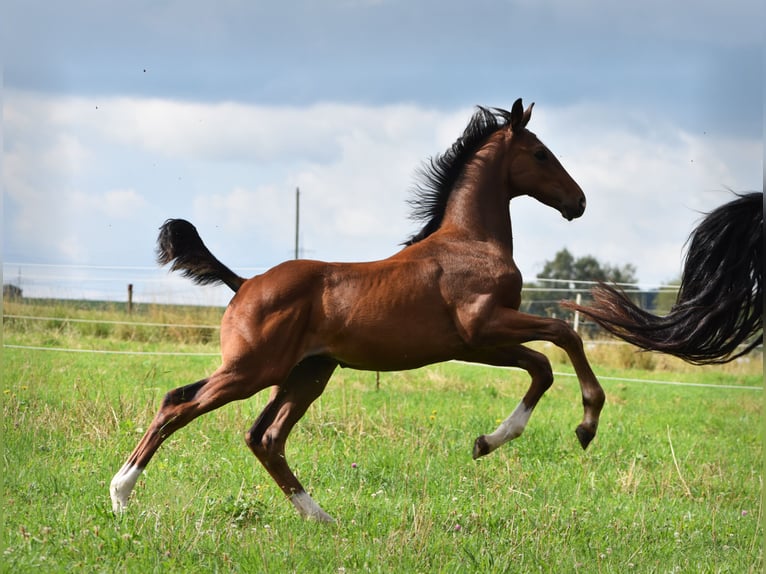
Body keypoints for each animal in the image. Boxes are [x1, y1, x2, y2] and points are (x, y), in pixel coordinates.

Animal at [109, 101, 608, 524]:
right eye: (541, 154)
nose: (580, 201)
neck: (471, 242)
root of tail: (245, 284)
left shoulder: (475, 344)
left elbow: (542, 367)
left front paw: (486, 442)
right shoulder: (484, 326)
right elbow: (564, 336)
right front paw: (586, 424)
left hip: (307, 373)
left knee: (263, 436)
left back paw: (320, 517)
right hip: (253, 370)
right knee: (180, 404)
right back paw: (121, 493)